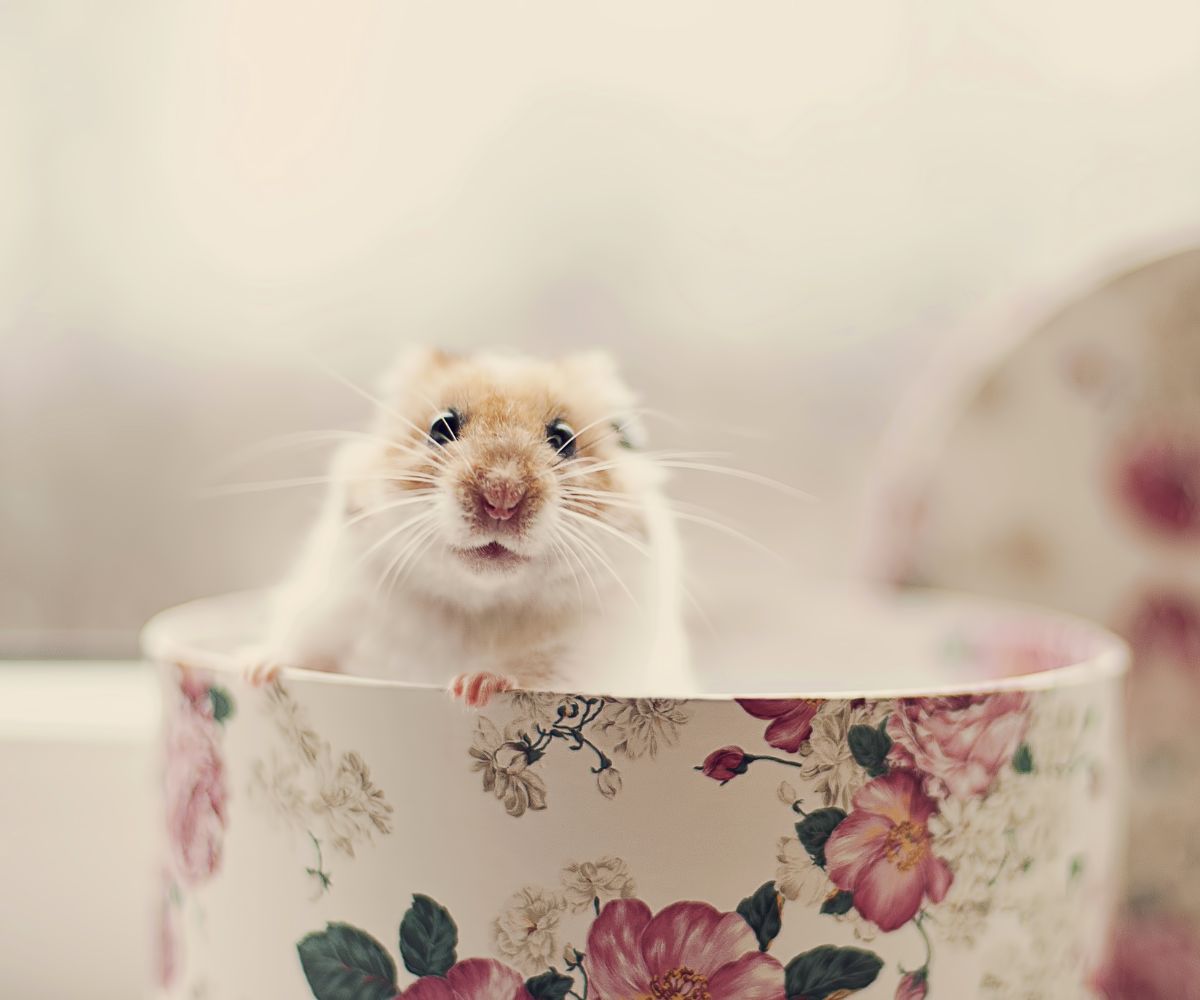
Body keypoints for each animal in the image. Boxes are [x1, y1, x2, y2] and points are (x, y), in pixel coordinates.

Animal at [243, 347, 691, 705]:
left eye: (564, 437)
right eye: (441, 426)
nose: (501, 498)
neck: (480, 601)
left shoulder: (592, 656)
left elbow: (536, 672)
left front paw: (471, 687)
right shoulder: (333, 605)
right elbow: (303, 650)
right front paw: (255, 671)